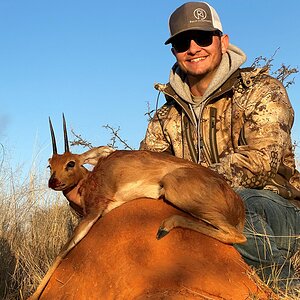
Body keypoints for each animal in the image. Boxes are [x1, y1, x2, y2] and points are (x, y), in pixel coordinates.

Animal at [29, 116, 246, 298]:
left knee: (237, 236)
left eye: (71, 163)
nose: (53, 182)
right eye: (50, 165)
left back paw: (164, 227)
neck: (90, 180)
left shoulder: (93, 212)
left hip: (174, 191)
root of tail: (238, 205)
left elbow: (63, 251)